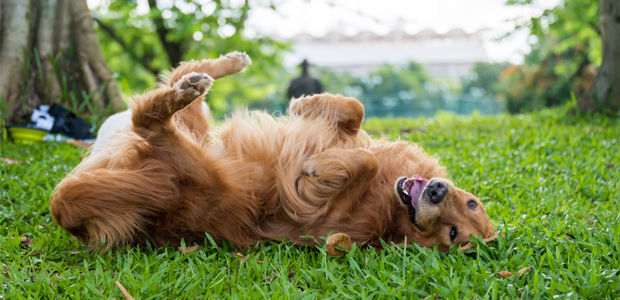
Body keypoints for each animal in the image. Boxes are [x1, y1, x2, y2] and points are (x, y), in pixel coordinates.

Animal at [49, 51, 494, 251]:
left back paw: (183, 93)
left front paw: (318, 166)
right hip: (200, 134)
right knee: (181, 73)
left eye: (453, 234)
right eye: (471, 201)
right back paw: (222, 67)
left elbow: (356, 165)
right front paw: (311, 102)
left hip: (205, 175)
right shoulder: (362, 139)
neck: (389, 205)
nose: (436, 190)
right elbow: (355, 111)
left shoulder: (323, 216)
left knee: (148, 118)